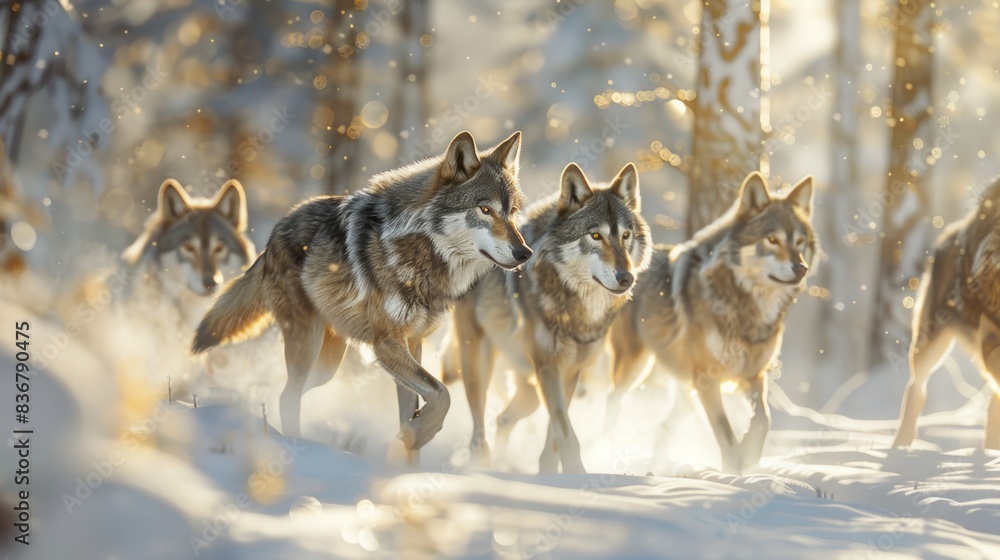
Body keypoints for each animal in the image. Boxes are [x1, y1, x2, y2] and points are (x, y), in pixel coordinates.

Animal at [192, 131, 530, 454]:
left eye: (512, 212)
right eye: (485, 210)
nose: (524, 253)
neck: (422, 255)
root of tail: (275, 231)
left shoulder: (413, 343)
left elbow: (419, 406)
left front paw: (407, 457)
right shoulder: (386, 343)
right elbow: (442, 394)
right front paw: (417, 435)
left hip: (327, 365)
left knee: (286, 393)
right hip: (308, 344)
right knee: (289, 396)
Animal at [450, 162, 651, 473]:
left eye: (625, 236)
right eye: (596, 236)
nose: (626, 277)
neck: (577, 309)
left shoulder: (569, 372)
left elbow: (555, 433)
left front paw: (550, 474)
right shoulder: (548, 368)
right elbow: (566, 432)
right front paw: (575, 476)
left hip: (530, 390)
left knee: (503, 419)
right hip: (479, 364)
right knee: (479, 424)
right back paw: (482, 465)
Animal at [605, 172, 816, 473]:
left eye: (799, 242)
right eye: (772, 239)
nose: (801, 268)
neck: (747, 308)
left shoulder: (753, 374)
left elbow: (763, 419)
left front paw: (751, 454)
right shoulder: (708, 380)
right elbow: (725, 433)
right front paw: (735, 471)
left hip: (685, 393)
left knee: (663, 426)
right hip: (635, 367)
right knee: (612, 405)